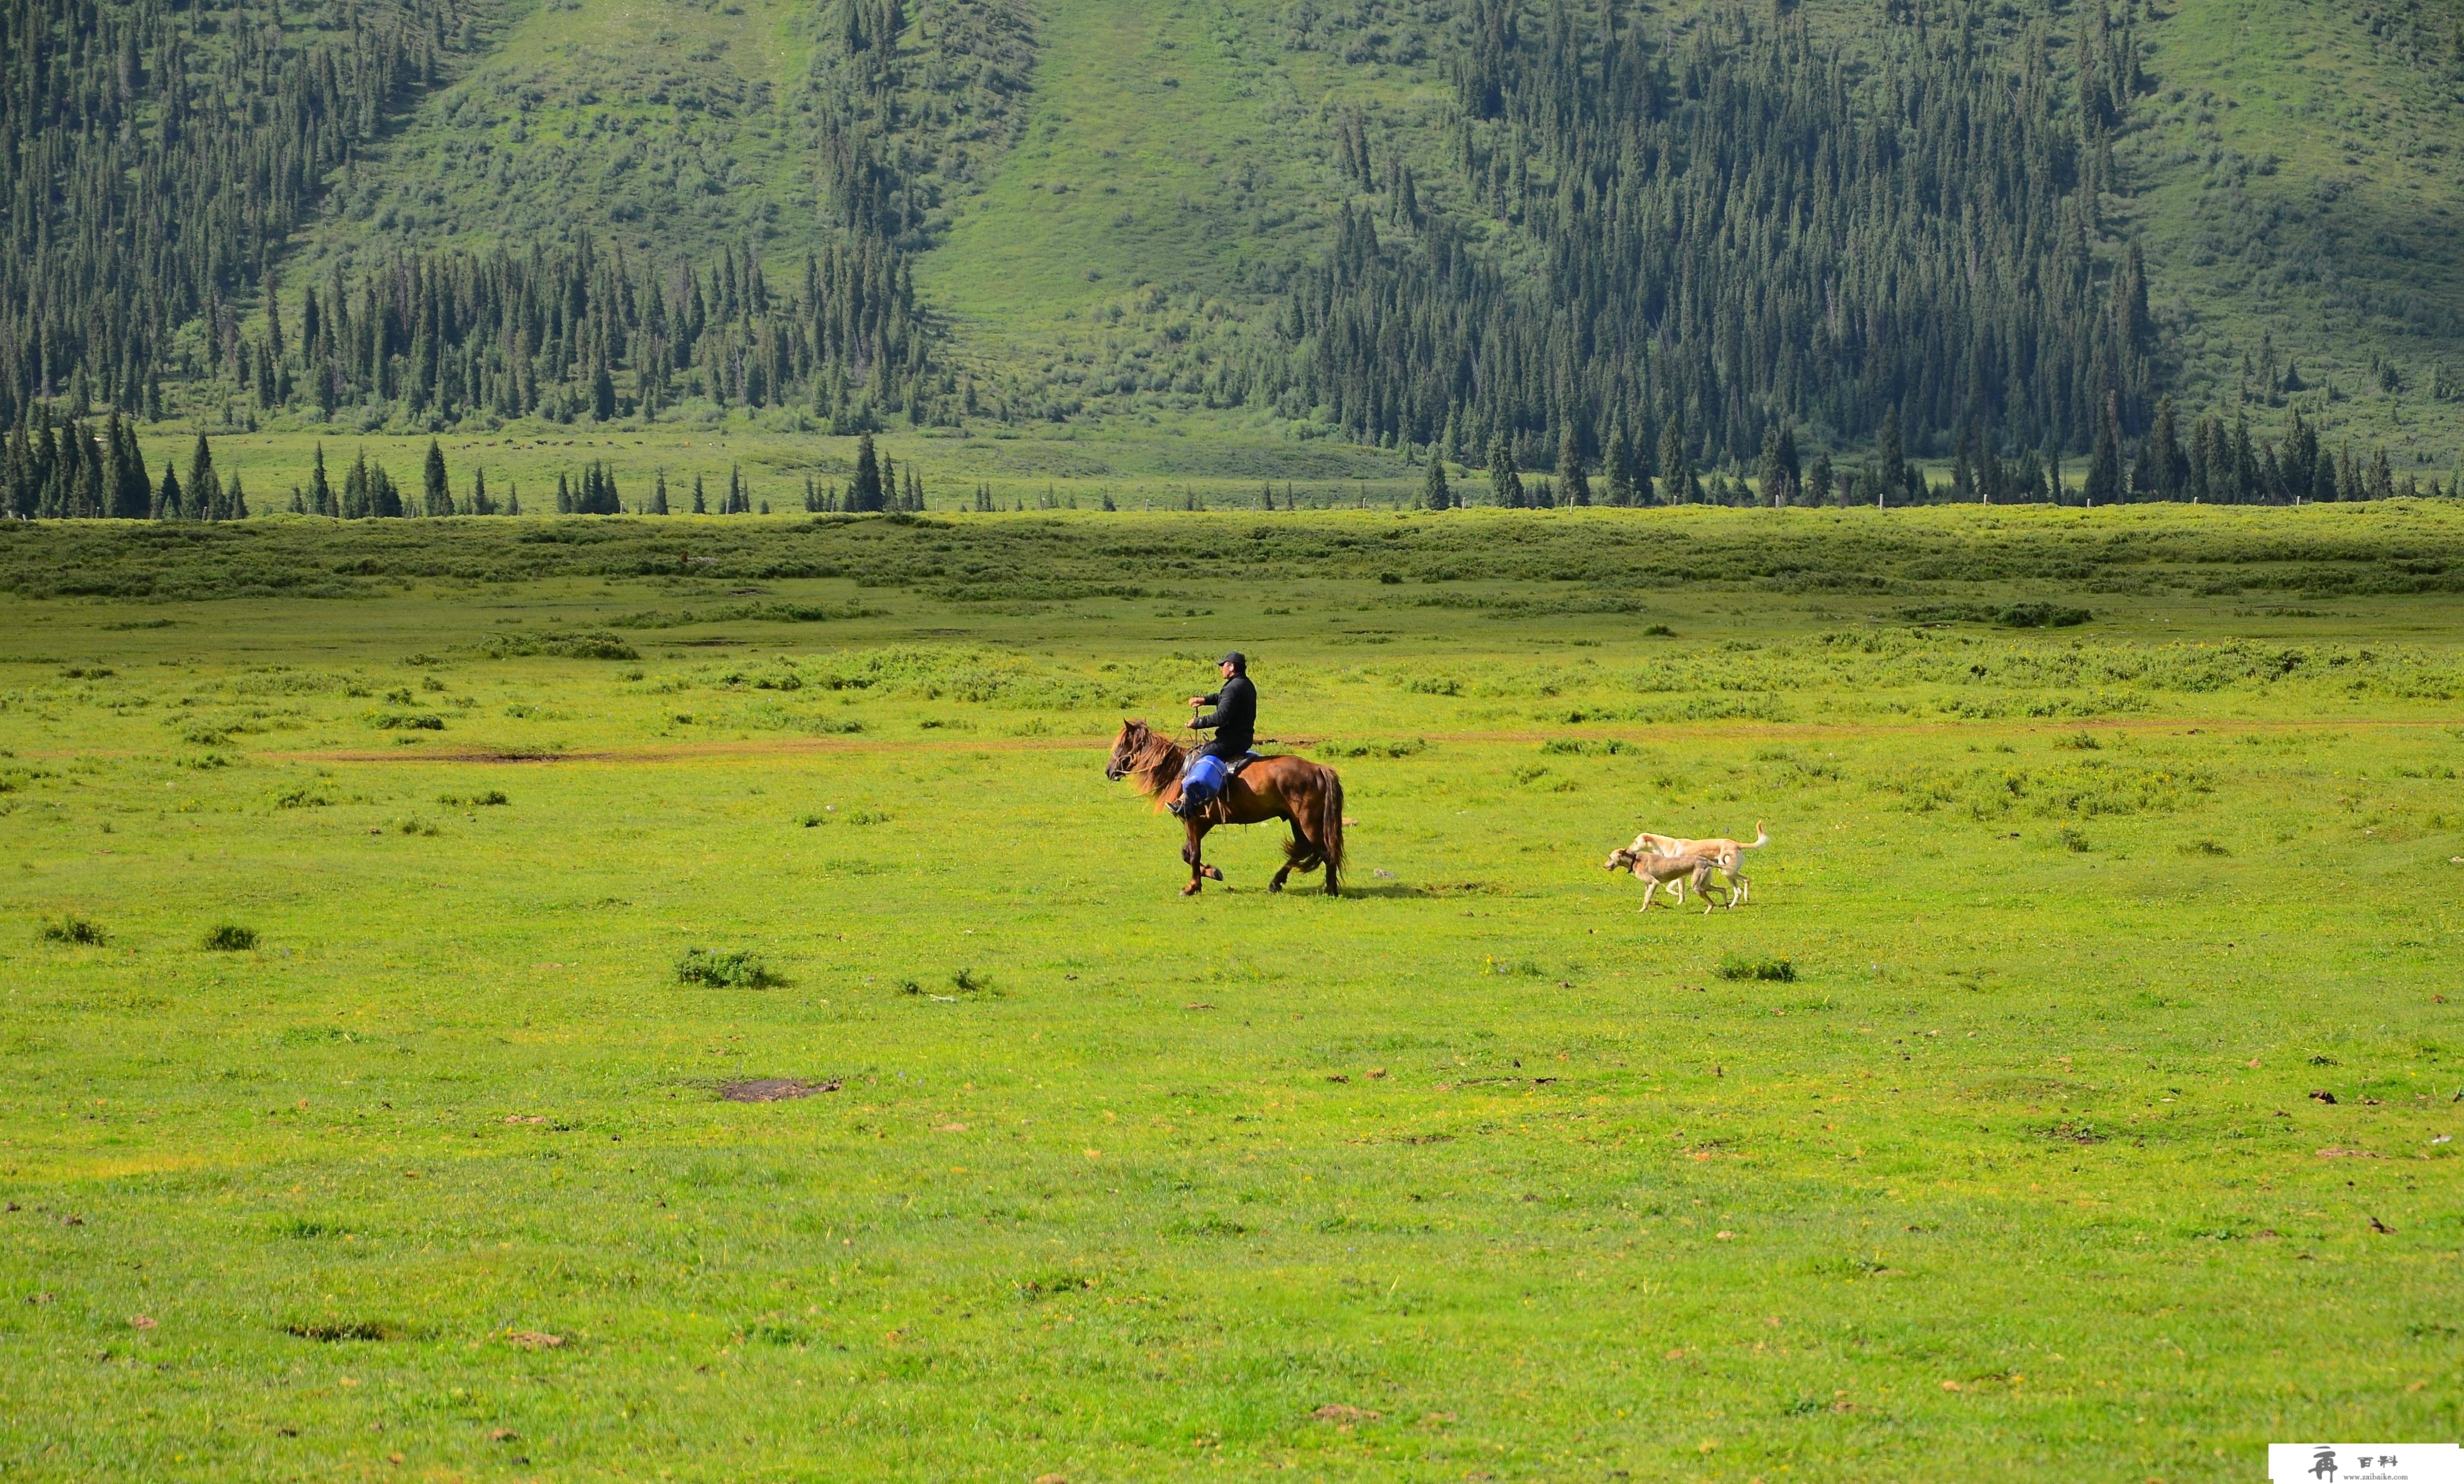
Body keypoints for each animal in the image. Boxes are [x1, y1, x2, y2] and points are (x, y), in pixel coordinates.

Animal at [1108, 714, 1350, 887]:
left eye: (1121, 745)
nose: (1109, 771)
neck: (1179, 770)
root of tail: (1318, 769)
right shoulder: (1205, 821)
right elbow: (1187, 853)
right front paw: (1213, 872)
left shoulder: (1192, 818)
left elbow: (1193, 854)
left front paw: (1193, 886)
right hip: (1295, 820)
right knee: (1305, 848)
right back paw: (1277, 882)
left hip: (1308, 821)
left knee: (1324, 851)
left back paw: (1330, 890)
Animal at [1606, 838, 1724, 907]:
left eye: (1610, 858)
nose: (1604, 866)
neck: (1635, 860)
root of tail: (1705, 861)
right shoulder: (1648, 885)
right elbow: (1647, 897)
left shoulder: (1654, 883)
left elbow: (1647, 899)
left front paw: (1644, 909)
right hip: (1704, 884)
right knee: (1722, 889)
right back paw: (1727, 904)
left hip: (1697, 886)